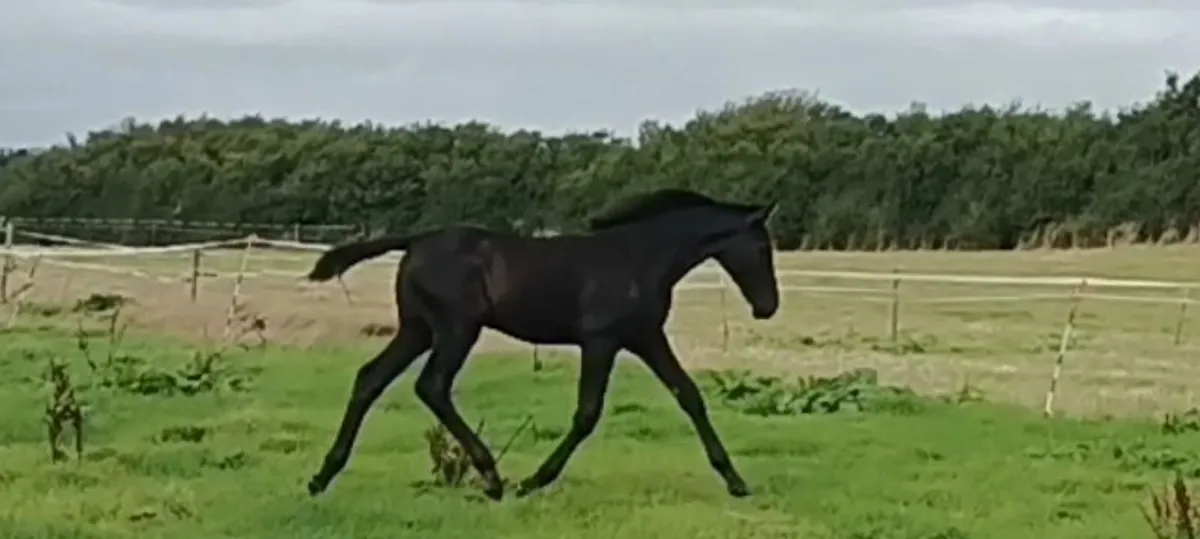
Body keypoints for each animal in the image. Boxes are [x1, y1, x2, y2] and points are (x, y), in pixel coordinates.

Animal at [303, 188, 781, 501]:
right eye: (761, 248)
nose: (768, 306)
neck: (638, 258)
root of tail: (417, 240)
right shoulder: (601, 340)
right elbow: (587, 413)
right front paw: (534, 480)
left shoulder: (645, 337)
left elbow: (689, 395)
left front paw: (736, 481)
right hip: (456, 328)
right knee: (432, 386)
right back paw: (493, 479)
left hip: (418, 328)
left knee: (371, 379)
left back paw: (322, 477)